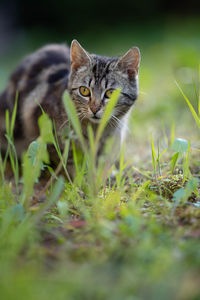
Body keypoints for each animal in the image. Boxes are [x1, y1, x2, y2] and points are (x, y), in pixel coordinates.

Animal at [0, 39, 141, 176]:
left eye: (111, 93)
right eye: (84, 90)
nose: (94, 109)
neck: (95, 131)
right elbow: (70, 162)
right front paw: (81, 180)